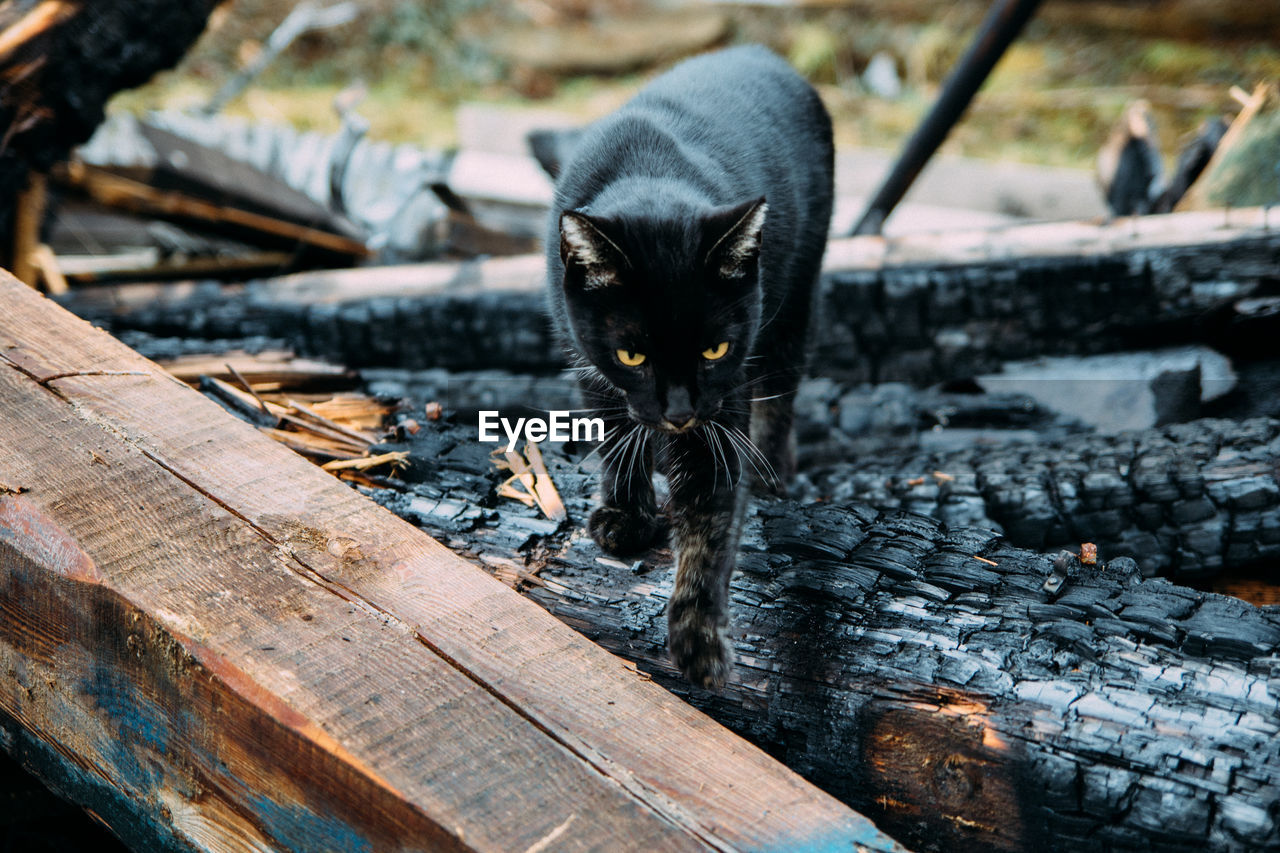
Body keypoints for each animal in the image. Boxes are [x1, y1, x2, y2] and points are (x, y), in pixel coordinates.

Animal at [545, 44, 834, 686]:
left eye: (714, 350)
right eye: (632, 353)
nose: (679, 411)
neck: (648, 171)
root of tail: (764, 52)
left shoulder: (721, 407)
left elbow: (708, 517)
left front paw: (698, 639)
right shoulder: (588, 361)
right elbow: (614, 433)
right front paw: (626, 514)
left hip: (797, 298)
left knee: (782, 389)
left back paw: (772, 473)